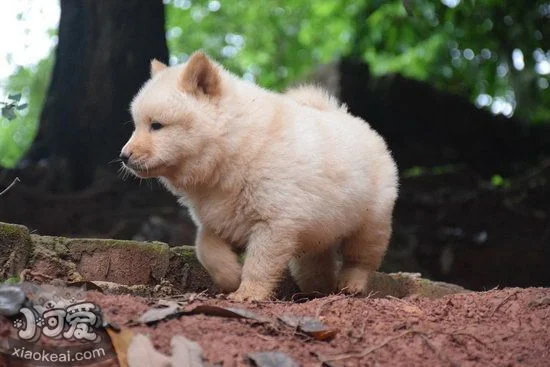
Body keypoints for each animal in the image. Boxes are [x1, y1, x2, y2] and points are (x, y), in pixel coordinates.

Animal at [121, 49, 398, 302]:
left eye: (157, 125)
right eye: (136, 125)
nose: (124, 155)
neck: (233, 147)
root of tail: (348, 116)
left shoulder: (275, 220)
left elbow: (259, 262)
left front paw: (248, 293)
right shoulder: (218, 215)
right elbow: (206, 248)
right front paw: (230, 276)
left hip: (371, 218)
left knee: (361, 255)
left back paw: (351, 284)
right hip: (318, 229)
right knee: (314, 262)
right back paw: (317, 289)